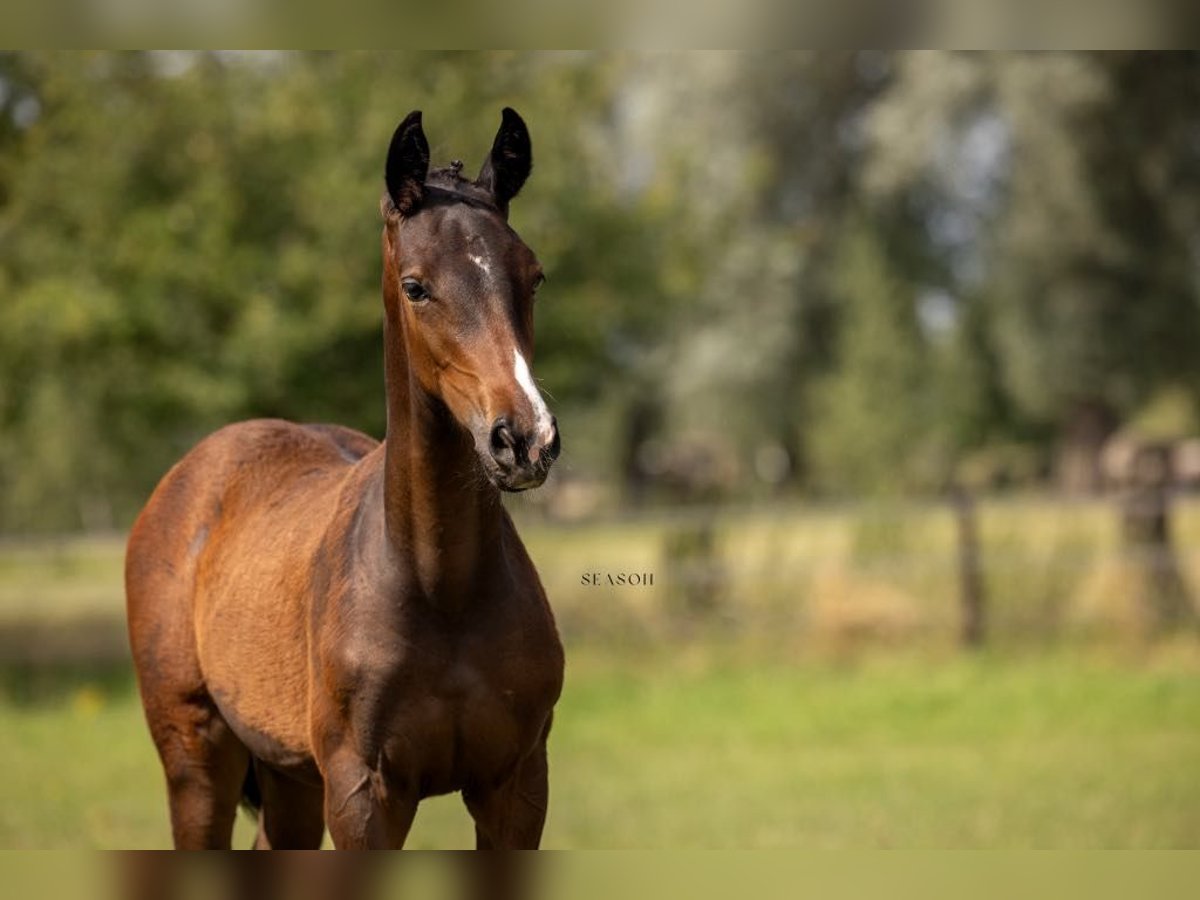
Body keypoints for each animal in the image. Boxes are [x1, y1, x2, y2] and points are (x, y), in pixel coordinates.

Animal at [124, 109, 564, 849]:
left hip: (288, 775)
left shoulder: (518, 783)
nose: (524, 439)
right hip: (196, 753)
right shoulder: (364, 793)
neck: (442, 588)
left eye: (532, 277)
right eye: (416, 286)